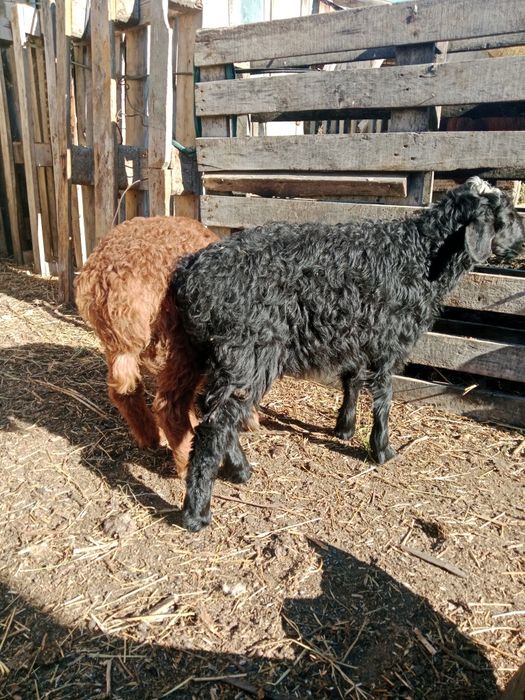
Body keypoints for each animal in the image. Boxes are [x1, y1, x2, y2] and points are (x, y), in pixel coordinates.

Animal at [172, 178, 525, 530]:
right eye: (505, 216)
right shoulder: (387, 341)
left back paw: (241, 470)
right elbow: (383, 396)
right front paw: (382, 450)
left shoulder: (357, 335)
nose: (521, 244)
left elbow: (352, 380)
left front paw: (344, 428)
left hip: (216, 353)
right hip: (249, 349)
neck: (419, 256)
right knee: (217, 423)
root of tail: (189, 274)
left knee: (214, 410)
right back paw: (197, 513)